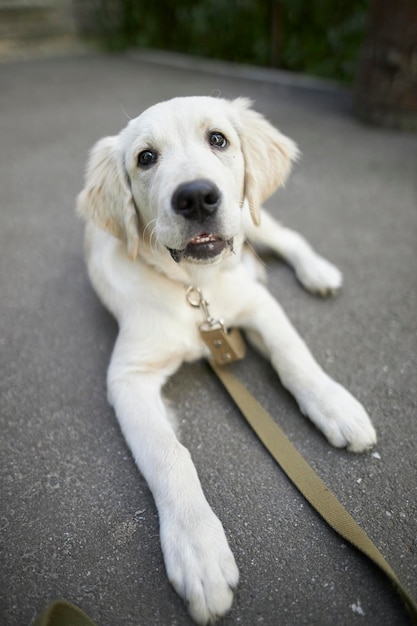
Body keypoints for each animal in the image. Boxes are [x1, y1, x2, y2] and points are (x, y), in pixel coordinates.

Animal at [75, 96, 376, 624]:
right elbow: (170, 455)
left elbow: (294, 357)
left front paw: (337, 407)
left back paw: (317, 272)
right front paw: (198, 551)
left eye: (218, 139)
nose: (196, 197)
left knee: (286, 237)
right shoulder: (129, 377)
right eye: (145, 158)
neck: (195, 287)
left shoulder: (257, 306)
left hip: (253, 215)